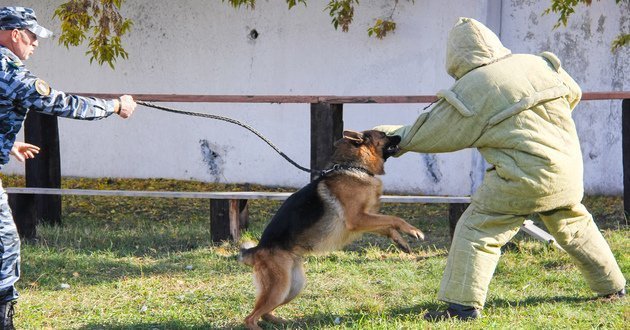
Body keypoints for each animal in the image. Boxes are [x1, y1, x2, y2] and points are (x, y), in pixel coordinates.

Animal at [239, 130, 428, 328]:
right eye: (384, 135)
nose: (400, 136)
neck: (356, 168)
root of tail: (256, 250)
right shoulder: (357, 219)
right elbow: (393, 219)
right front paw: (413, 231)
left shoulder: (364, 219)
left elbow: (387, 226)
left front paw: (402, 242)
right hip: (279, 288)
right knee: (250, 318)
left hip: (293, 287)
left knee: (265, 313)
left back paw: (280, 321)